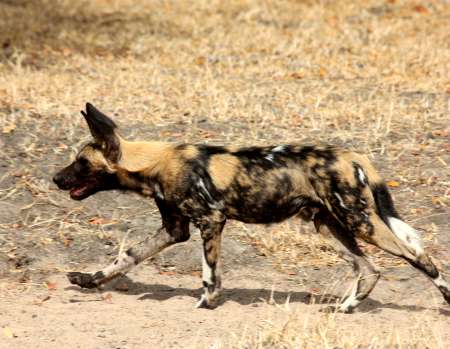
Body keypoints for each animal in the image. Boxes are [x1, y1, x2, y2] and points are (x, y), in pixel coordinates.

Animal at [53, 102, 450, 312]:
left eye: (81, 164)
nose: (56, 178)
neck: (155, 164)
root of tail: (356, 155)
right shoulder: (174, 230)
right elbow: (124, 258)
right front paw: (88, 280)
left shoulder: (211, 221)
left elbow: (209, 273)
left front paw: (208, 302)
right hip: (330, 227)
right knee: (370, 269)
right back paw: (346, 307)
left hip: (361, 223)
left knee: (420, 256)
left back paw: (445, 298)